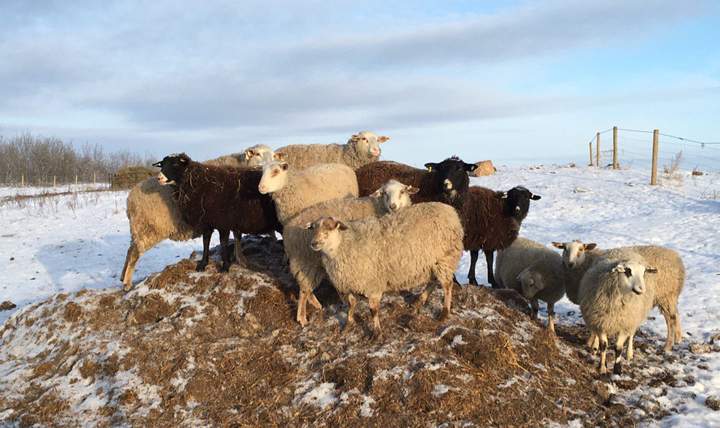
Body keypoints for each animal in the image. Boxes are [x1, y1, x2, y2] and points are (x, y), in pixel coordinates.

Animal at [120, 145, 275, 290]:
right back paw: (127, 283)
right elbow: (235, 236)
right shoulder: (228, 216)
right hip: (148, 228)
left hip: (138, 229)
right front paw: (239, 260)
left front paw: (238, 258)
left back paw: (122, 278)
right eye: (257, 154)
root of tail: (130, 199)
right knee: (134, 253)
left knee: (129, 250)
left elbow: (234, 236)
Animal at [283, 179, 418, 326]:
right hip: (306, 261)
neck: (379, 207)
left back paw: (317, 305)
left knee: (306, 287)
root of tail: (287, 230)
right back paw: (302, 318)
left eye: (402, 191)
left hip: (308, 264)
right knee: (304, 290)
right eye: (384, 193)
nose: (393, 206)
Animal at [307, 202, 464, 336]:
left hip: (444, 258)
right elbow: (351, 305)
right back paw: (419, 301)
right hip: (431, 263)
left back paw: (444, 313)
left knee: (447, 285)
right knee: (433, 281)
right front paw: (348, 324)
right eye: (313, 228)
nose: (314, 243)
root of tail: (451, 212)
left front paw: (376, 332)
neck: (342, 245)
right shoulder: (347, 286)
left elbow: (373, 310)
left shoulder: (372, 284)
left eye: (330, 227)